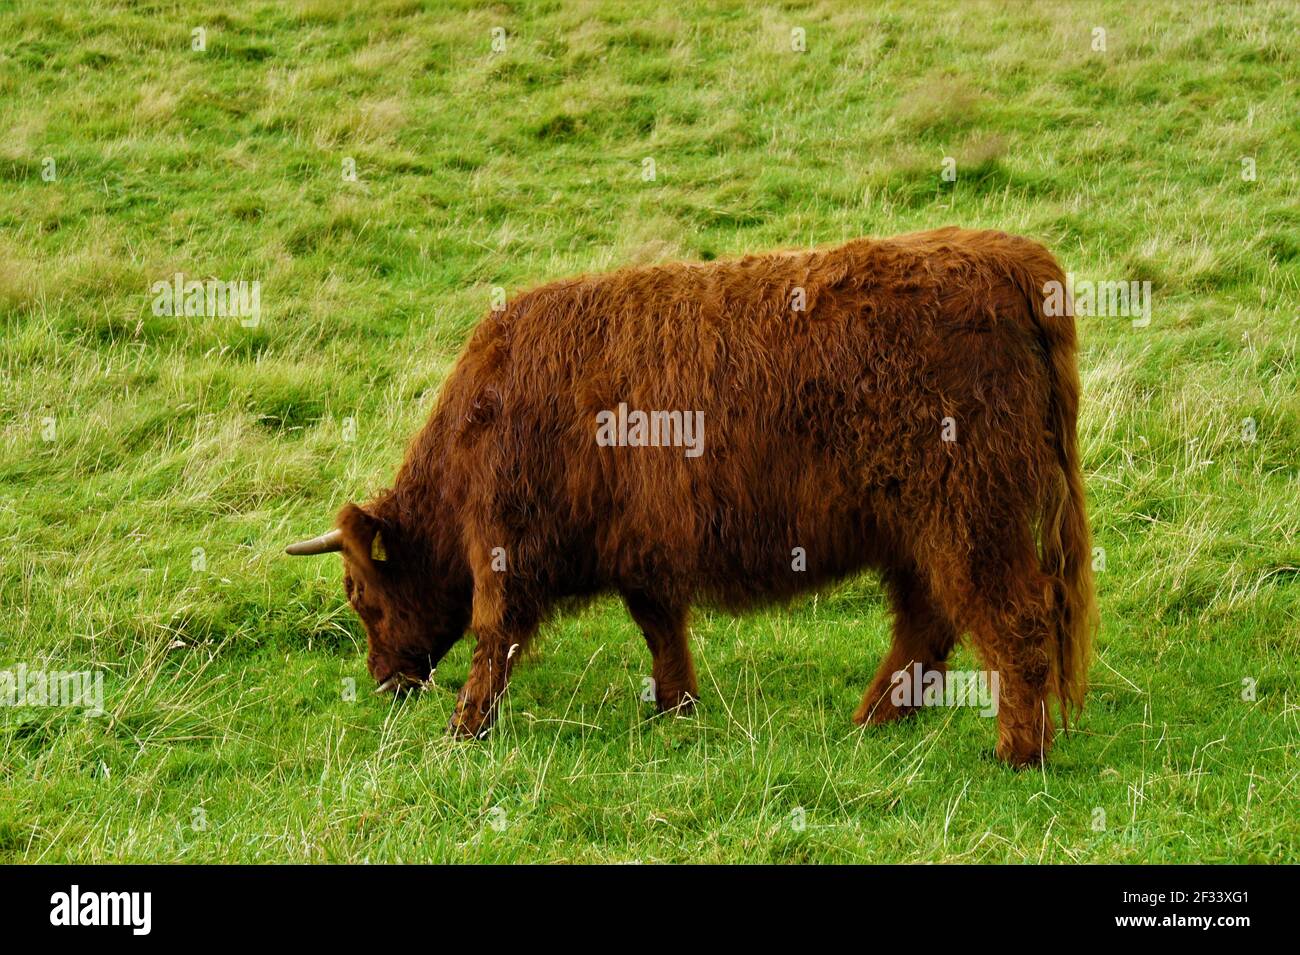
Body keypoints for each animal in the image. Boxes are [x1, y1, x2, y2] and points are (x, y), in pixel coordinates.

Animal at [286, 227, 1096, 766]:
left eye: (360, 595)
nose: (384, 680)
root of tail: (1008, 257)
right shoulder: (641, 548)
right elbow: (660, 628)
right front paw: (678, 707)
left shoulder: (508, 545)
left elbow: (495, 637)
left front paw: (464, 729)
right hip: (919, 527)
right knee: (926, 626)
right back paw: (871, 723)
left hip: (967, 511)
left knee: (1014, 621)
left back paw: (1016, 752)